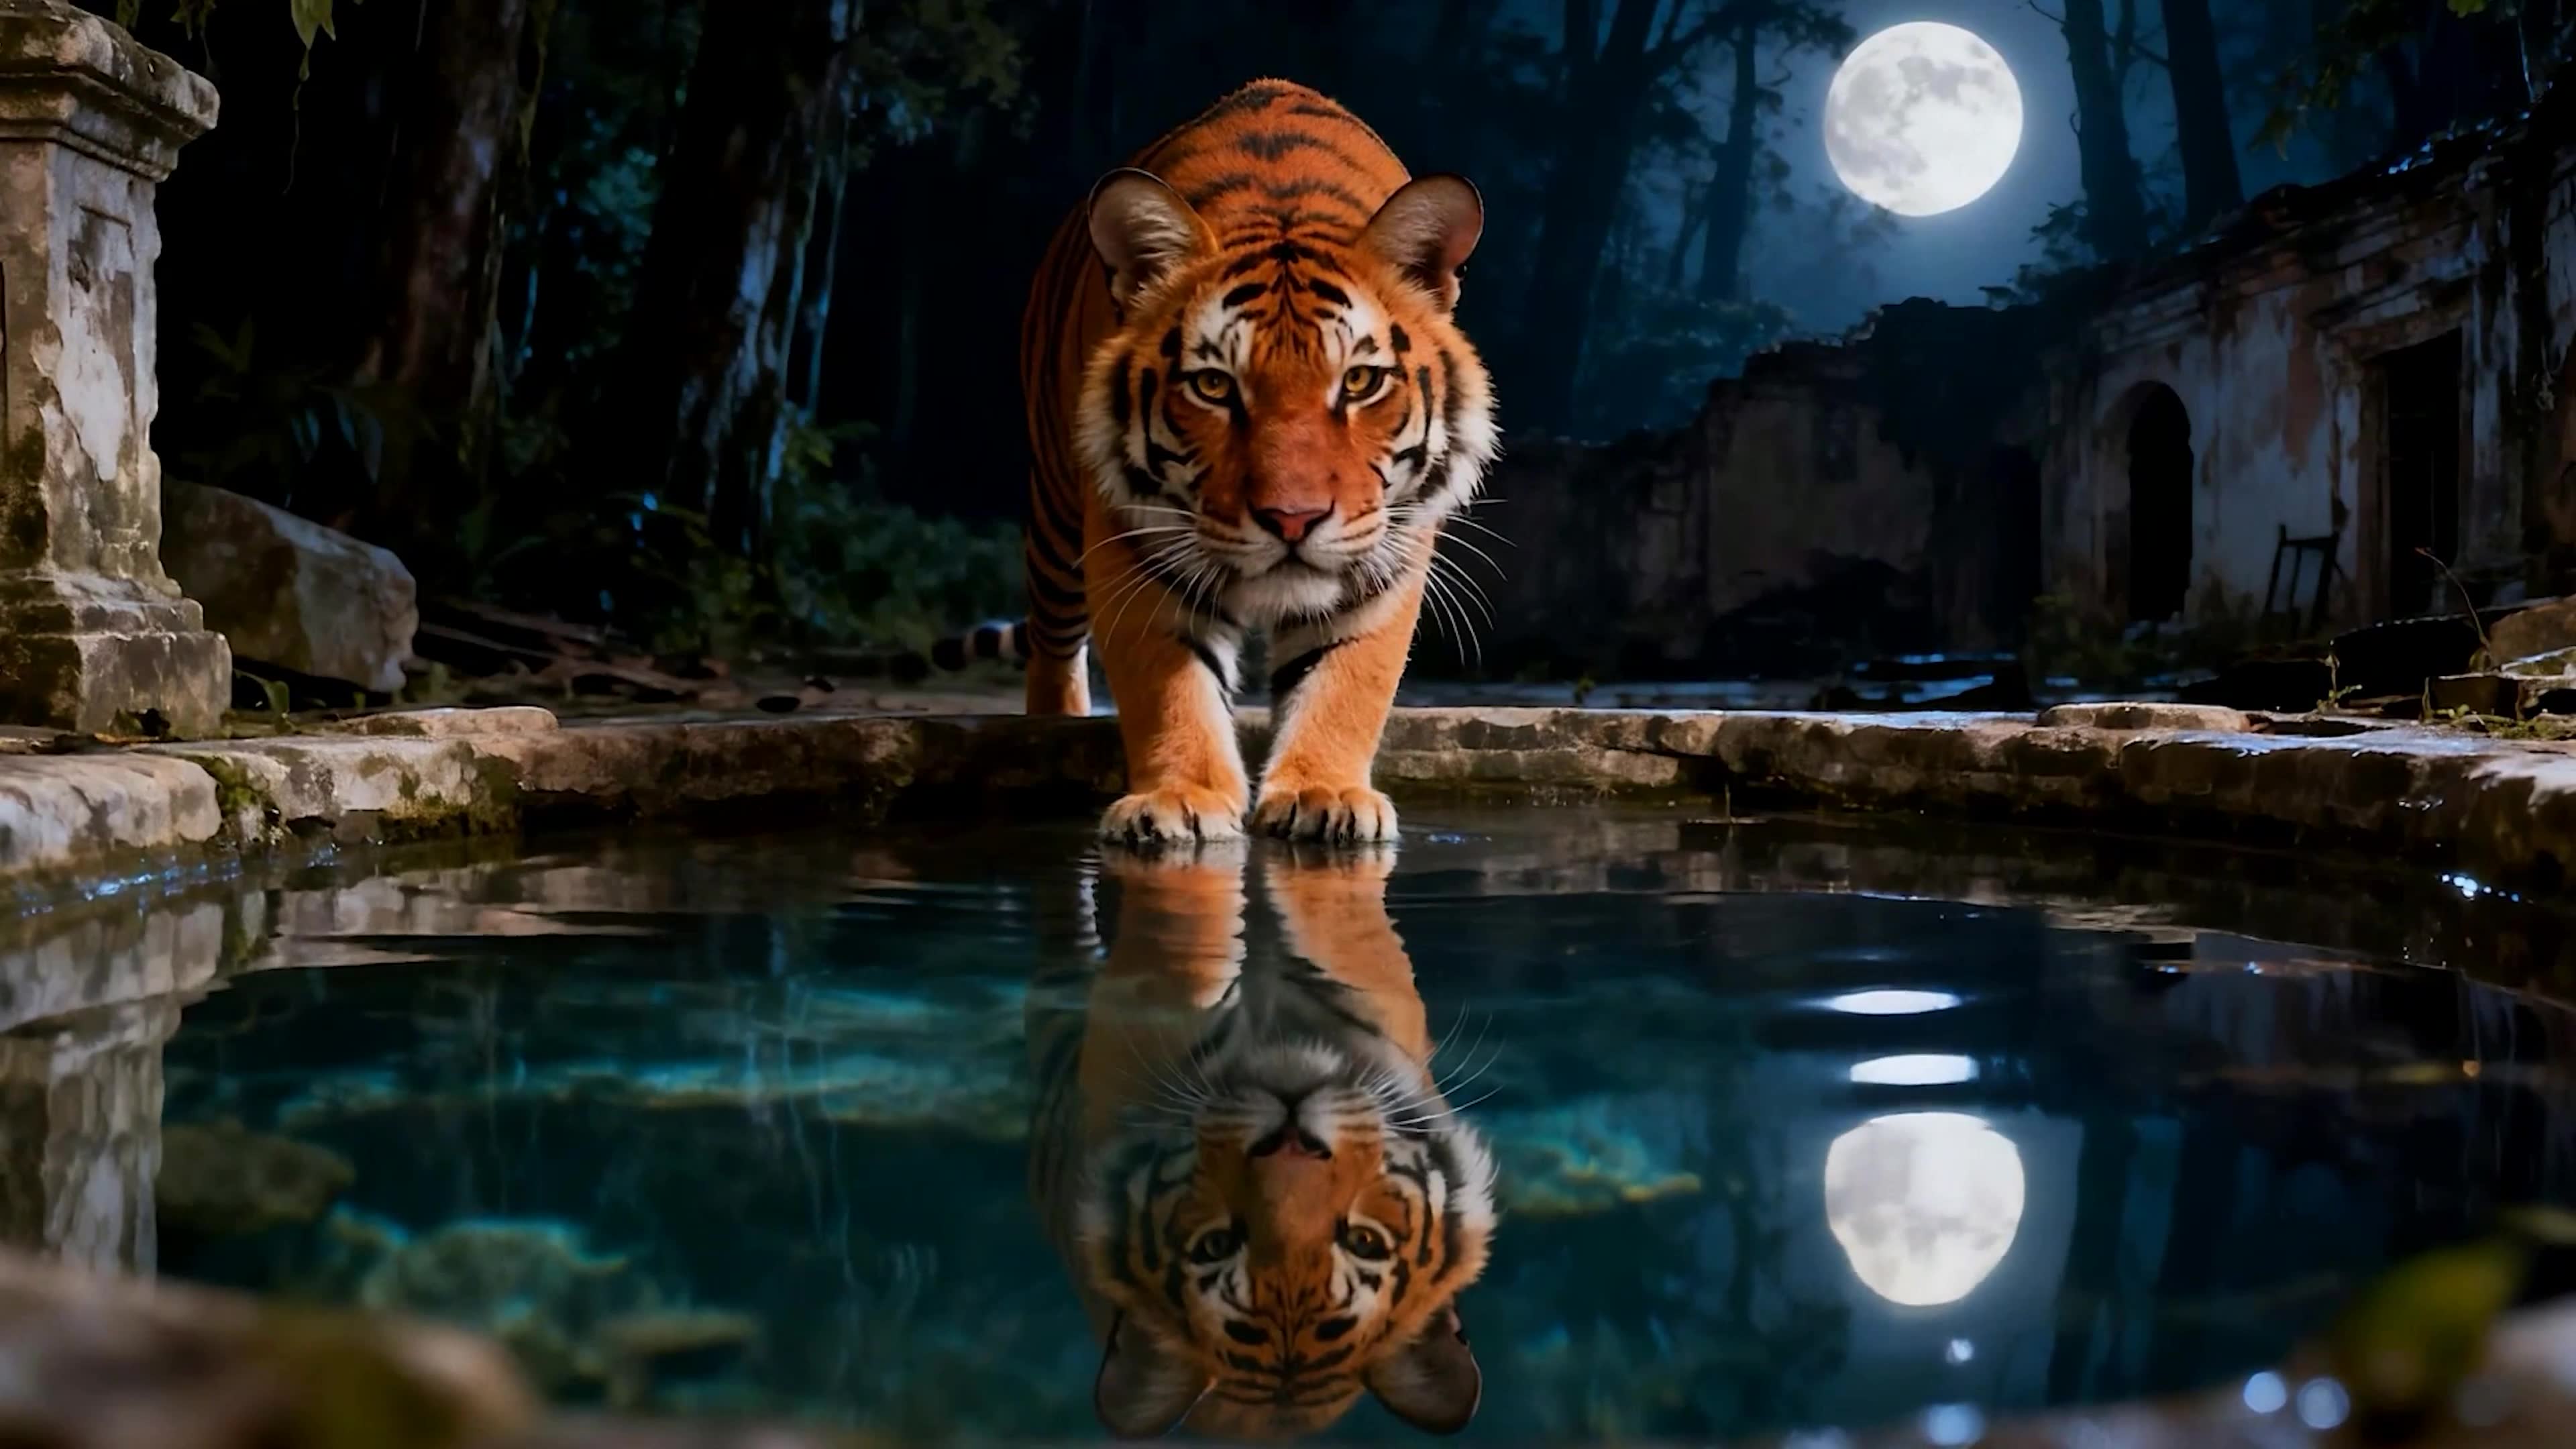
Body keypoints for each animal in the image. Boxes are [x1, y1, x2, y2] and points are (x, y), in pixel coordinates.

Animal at [930, 79, 1499, 848]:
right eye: (1214, 386)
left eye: (1358, 382)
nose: (1293, 519)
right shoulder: (1131, 539)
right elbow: (1169, 684)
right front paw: (1180, 798)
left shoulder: (1390, 543)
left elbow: (1347, 680)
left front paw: (1325, 792)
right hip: (1053, 517)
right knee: (1052, 646)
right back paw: (1052, 725)